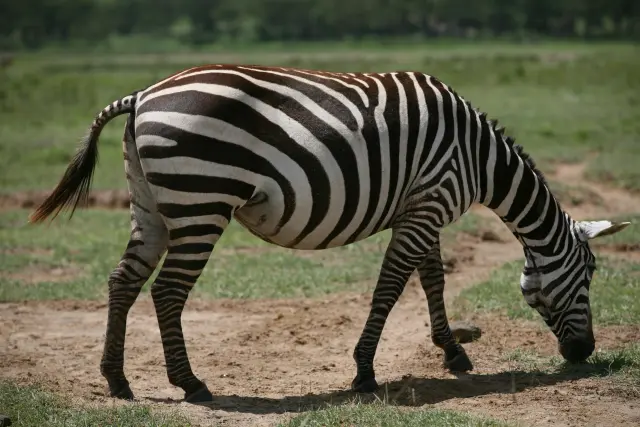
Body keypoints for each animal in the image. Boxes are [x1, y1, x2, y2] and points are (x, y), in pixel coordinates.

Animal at [29, 64, 630, 404]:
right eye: (590, 276)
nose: (584, 354)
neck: (478, 158)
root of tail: (140, 95)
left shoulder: (422, 204)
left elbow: (432, 278)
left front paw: (453, 352)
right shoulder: (430, 200)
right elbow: (391, 287)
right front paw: (364, 371)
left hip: (152, 205)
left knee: (123, 281)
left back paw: (117, 381)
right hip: (202, 202)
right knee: (167, 291)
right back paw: (191, 385)